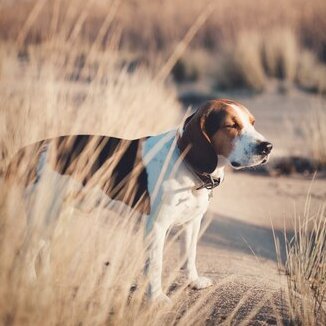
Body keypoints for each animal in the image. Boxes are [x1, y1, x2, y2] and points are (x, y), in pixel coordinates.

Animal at [5, 98, 272, 304]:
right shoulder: (157, 227)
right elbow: (156, 265)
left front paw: (194, 282)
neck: (187, 163)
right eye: (231, 125)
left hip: (58, 215)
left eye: (252, 123)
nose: (267, 147)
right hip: (43, 214)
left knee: (43, 249)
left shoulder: (192, 223)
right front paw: (156, 298)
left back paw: (48, 278)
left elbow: (190, 255)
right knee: (27, 252)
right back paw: (31, 283)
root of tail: (39, 146)